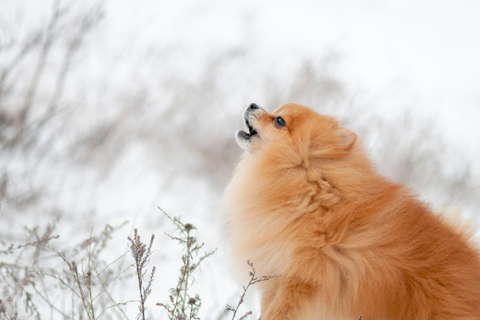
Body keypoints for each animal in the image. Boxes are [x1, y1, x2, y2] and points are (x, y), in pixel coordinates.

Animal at [223, 103, 480, 320]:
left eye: (278, 120)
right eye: (276, 111)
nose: (252, 104)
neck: (310, 195)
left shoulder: (303, 277)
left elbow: (277, 312)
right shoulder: (277, 273)